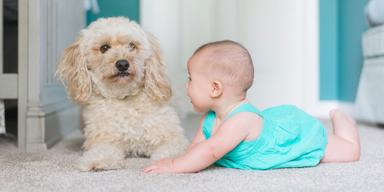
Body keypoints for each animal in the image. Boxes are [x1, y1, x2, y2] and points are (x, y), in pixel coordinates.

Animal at [56, 17, 188, 172]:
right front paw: (96, 160)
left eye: (132, 45)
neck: (124, 98)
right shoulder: (105, 139)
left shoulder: (171, 137)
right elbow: (102, 150)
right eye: (104, 48)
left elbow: (171, 149)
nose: (123, 64)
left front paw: (167, 162)